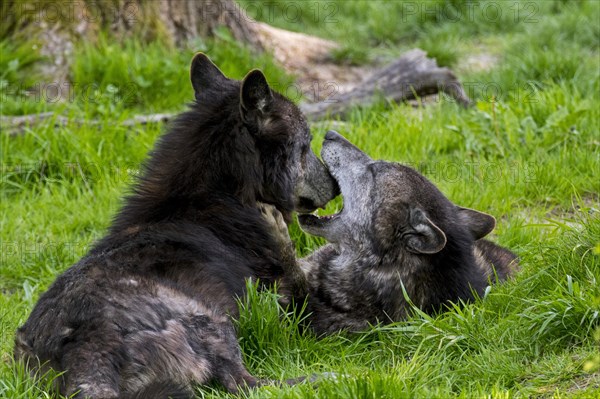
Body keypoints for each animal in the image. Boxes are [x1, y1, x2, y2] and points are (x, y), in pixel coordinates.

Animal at [14, 54, 340, 399]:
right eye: (306, 145)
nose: (336, 186)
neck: (214, 199)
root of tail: (83, 351)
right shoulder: (294, 304)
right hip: (211, 322)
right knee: (247, 385)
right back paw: (326, 377)